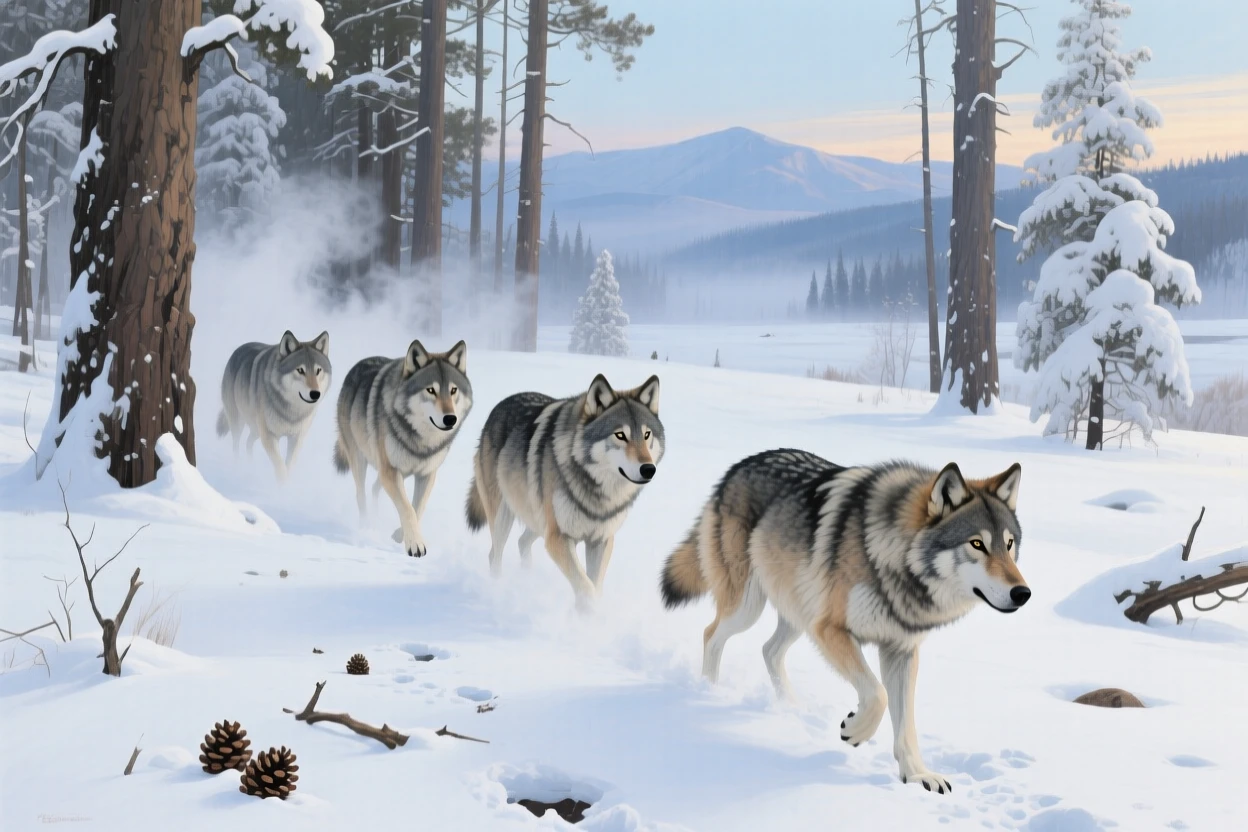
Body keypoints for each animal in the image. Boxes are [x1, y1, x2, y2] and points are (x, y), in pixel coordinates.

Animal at [216, 330, 332, 481]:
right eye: (300, 370)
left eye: (318, 371)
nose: (315, 394)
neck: (292, 412)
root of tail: (237, 350)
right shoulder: (269, 435)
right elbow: (280, 468)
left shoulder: (297, 437)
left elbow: (289, 466)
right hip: (239, 424)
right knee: (236, 446)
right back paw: (238, 469)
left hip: (256, 430)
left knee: (248, 442)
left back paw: (250, 466)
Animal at [332, 339, 472, 557]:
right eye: (430, 390)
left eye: (453, 390)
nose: (450, 418)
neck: (422, 442)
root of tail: (357, 365)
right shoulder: (391, 471)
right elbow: (407, 508)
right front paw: (415, 544)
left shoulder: (426, 474)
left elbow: (417, 507)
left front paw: (400, 534)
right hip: (360, 460)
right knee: (361, 494)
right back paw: (365, 527)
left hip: (394, 472)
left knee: (375, 488)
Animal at [465, 374, 664, 610]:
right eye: (620, 435)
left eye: (646, 434)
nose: (649, 469)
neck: (598, 493)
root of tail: (499, 406)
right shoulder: (558, 537)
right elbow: (586, 587)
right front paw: (587, 613)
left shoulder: (601, 540)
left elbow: (594, 584)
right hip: (505, 518)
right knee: (494, 555)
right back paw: (497, 589)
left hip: (538, 519)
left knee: (522, 542)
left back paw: (527, 579)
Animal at [660, 450, 1028, 794]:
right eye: (977, 544)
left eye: (1009, 545)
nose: (1023, 593)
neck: (890, 559)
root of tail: (738, 466)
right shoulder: (830, 629)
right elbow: (877, 694)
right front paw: (855, 730)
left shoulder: (901, 650)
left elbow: (905, 723)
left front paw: (918, 776)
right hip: (749, 607)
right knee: (711, 635)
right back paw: (709, 693)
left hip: (799, 610)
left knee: (769, 650)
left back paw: (791, 708)